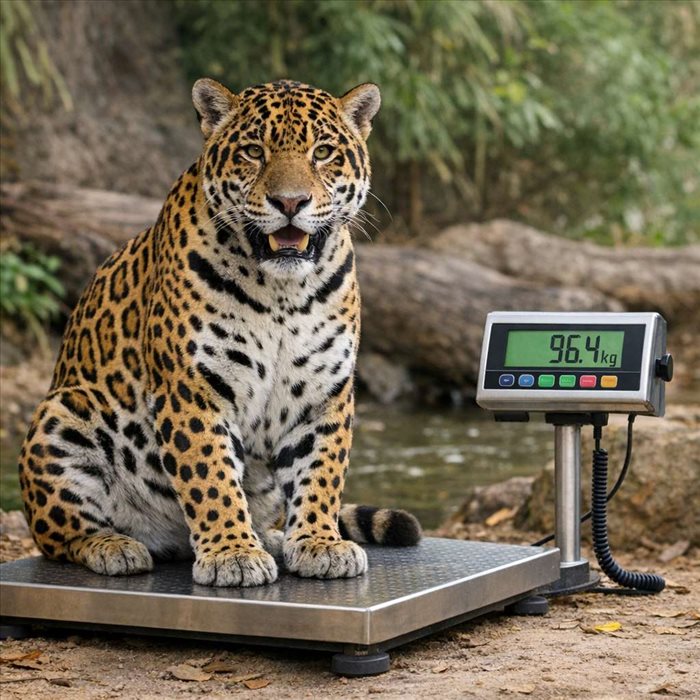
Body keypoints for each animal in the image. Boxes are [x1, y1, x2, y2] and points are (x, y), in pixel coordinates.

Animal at [17, 78, 421, 587]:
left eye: (323, 152)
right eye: (253, 151)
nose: (291, 203)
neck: (282, 291)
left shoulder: (324, 393)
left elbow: (321, 474)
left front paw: (319, 543)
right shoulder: (192, 390)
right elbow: (210, 476)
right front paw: (233, 552)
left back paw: (272, 537)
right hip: (61, 414)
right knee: (60, 535)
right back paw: (114, 546)